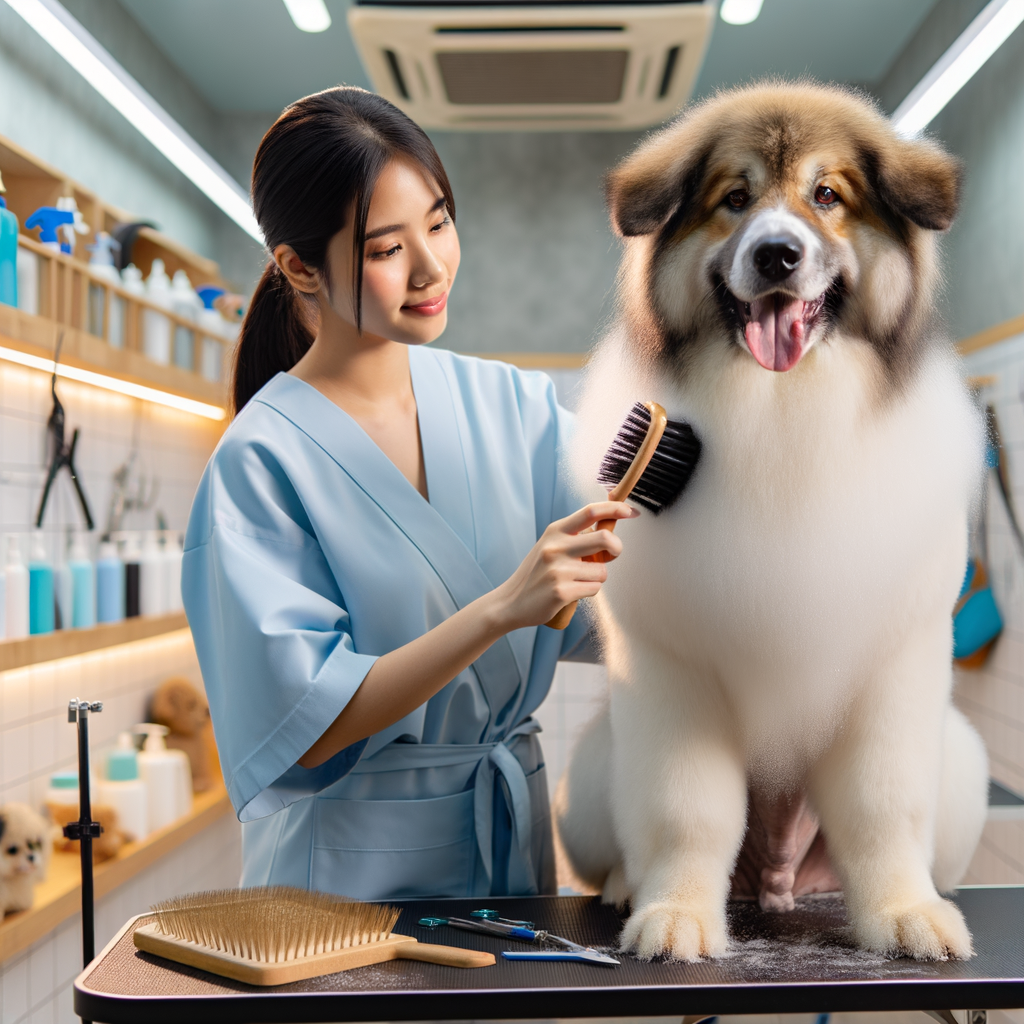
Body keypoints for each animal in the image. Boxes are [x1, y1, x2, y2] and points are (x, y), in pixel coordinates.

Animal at [557, 83, 987, 962]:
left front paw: (904, 913)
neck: (783, 412)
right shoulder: (673, 674)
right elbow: (687, 809)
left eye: (827, 195)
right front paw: (677, 912)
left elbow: (883, 804)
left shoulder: (893, 666)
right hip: (589, 772)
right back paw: (625, 885)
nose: (778, 256)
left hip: (961, 761)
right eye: (734, 199)